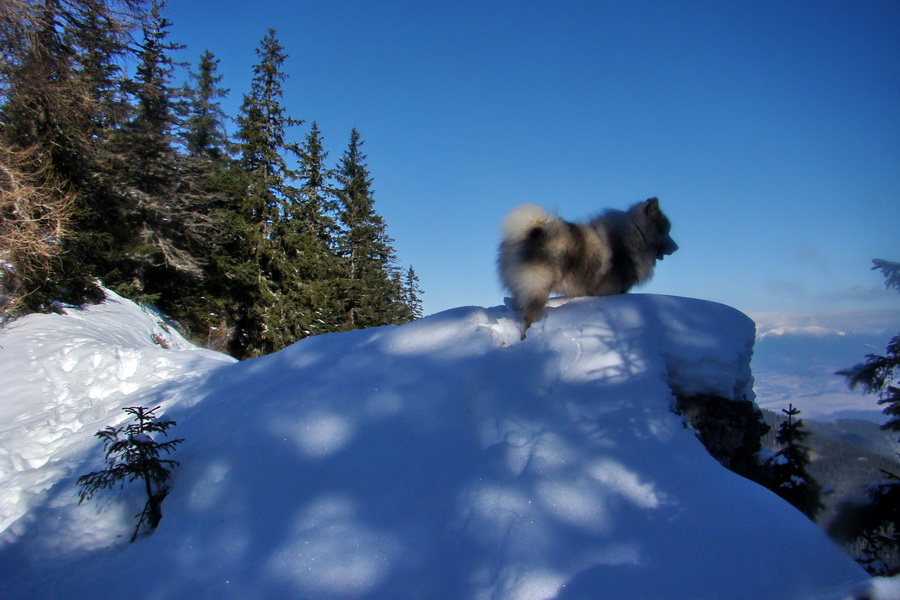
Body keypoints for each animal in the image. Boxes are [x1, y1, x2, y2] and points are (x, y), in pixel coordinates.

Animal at [496, 197, 680, 338]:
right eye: (666, 231)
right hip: (538, 291)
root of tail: (527, 232)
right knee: (528, 319)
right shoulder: (611, 290)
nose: (677, 247)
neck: (636, 235)